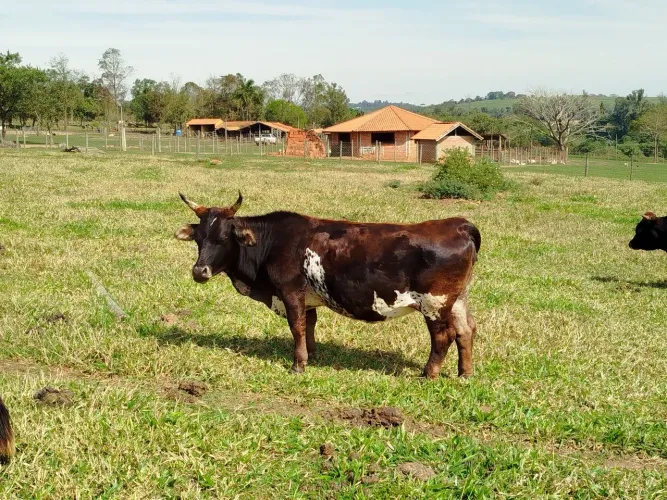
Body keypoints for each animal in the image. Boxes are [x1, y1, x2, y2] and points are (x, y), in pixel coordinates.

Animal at [175, 192, 481, 378]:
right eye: (199, 238)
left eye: (224, 238)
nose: (199, 271)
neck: (273, 242)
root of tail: (459, 224)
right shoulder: (307, 299)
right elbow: (309, 325)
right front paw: (311, 354)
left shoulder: (291, 292)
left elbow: (297, 327)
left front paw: (298, 364)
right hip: (457, 300)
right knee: (466, 330)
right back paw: (464, 373)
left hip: (434, 303)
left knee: (444, 336)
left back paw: (429, 373)